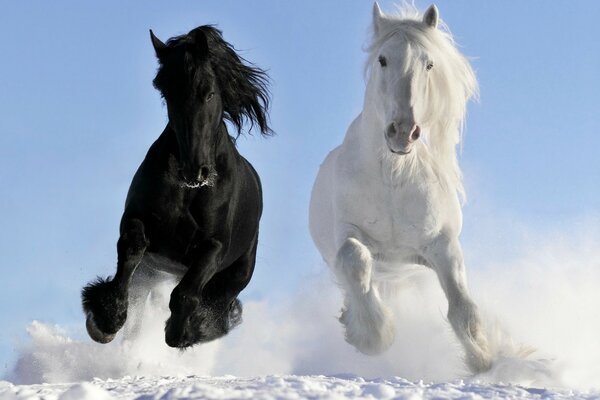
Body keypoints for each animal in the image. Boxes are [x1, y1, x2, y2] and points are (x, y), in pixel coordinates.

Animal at [81, 26, 272, 348]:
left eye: (209, 92)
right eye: (167, 93)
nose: (195, 170)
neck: (190, 191)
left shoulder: (214, 246)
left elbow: (186, 293)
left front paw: (182, 331)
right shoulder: (137, 220)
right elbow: (131, 250)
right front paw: (106, 320)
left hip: (237, 273)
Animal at [310, 3, 492, 374]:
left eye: (429, 63)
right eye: (382, 59)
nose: (403, 131)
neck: (393, 176)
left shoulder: (441, 244)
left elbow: (462, 308)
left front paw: (484, 359)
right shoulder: (347, 234)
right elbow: (354, 259)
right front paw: (374, 336)